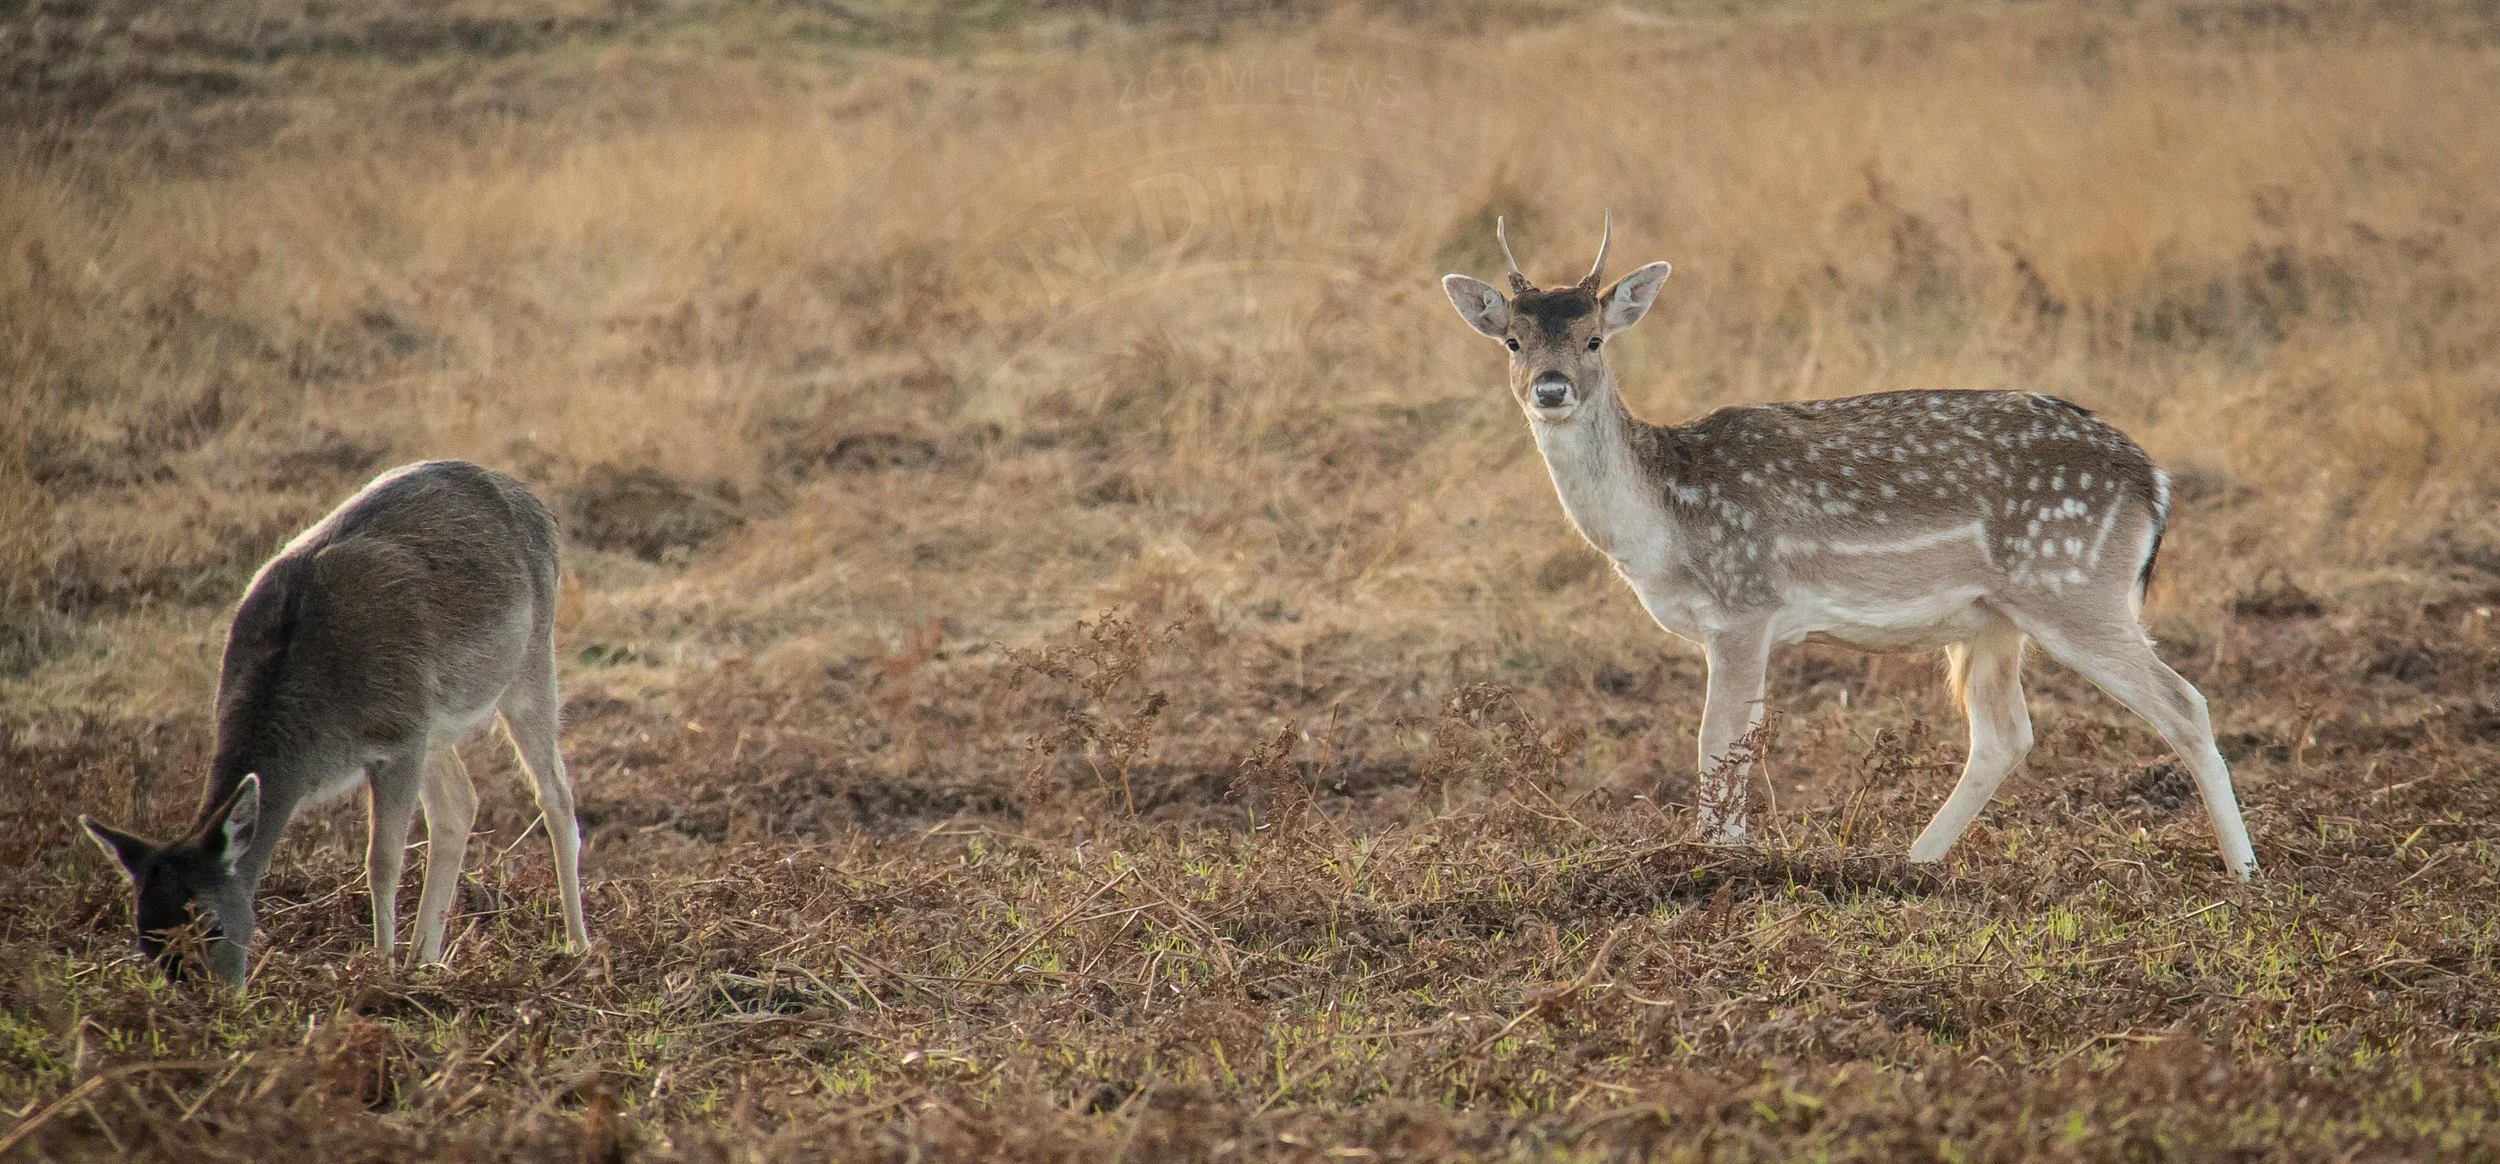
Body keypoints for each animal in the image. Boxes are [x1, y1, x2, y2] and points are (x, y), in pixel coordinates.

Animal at [78, 459, 593, 984]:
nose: (207, 997)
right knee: (461, 803)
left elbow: (381, 860)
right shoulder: (414, 729)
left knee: (555, 796)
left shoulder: (398, 737)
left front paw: (380, 967)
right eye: (147, 939)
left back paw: (577, 946)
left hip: (528, 666)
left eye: (212, 923)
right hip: (437, 722)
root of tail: (537, 506)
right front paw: (395, 962)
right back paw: (425, 958)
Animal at [1441, 218, 2257, 880]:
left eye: (1595, 339)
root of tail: (2153, 482)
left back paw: (2245, 871)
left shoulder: (1744, 606)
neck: (1663, 525)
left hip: (2073, 584)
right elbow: (1732, 742)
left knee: (2183, 703)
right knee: (2004, 734)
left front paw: (1716, 863)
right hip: (1996, 619)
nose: (1550, 388)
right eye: (1512, 340)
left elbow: (1718, 740)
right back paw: (1910, 865)